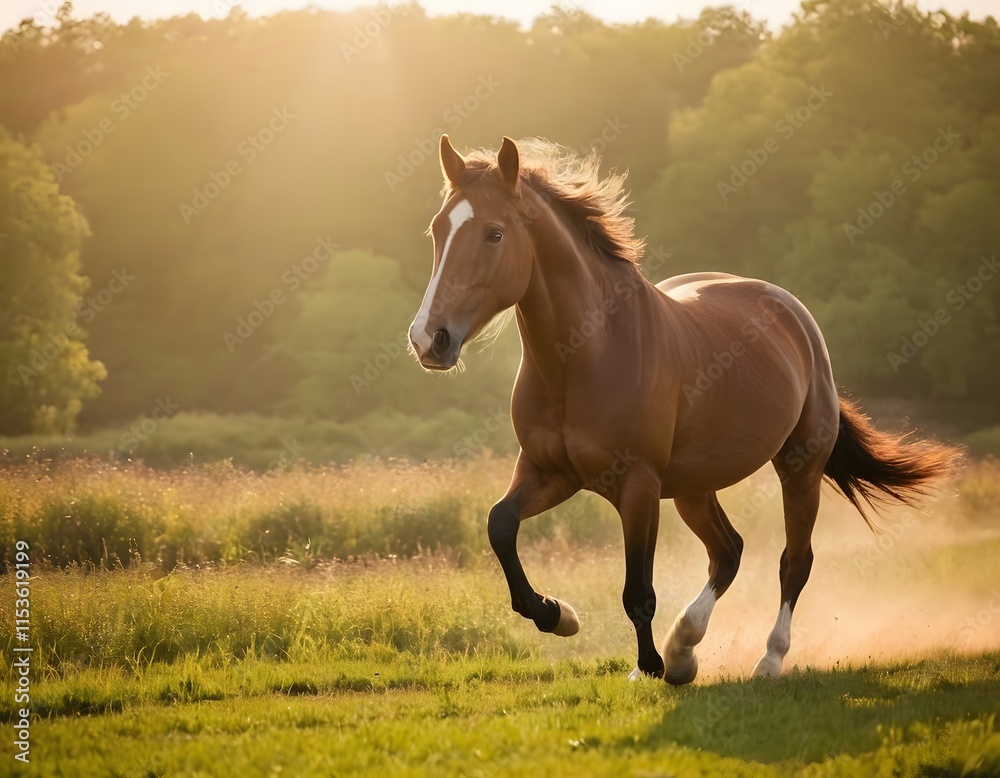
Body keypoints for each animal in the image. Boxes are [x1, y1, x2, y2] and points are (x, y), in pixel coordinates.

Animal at [408, 134, 954, 683]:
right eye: (437, 229)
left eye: (494, 234)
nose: (429, 339)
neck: (587, 355)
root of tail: (793, 312)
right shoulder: (550, 472)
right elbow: (500, 525)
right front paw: (558, 615)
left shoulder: (638, 486)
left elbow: (637, 590)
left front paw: (647, 665)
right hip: (694, 487)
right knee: (728, 552)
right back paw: (685, 648)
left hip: (799, 469)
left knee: (793, 562)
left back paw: (764, 659)